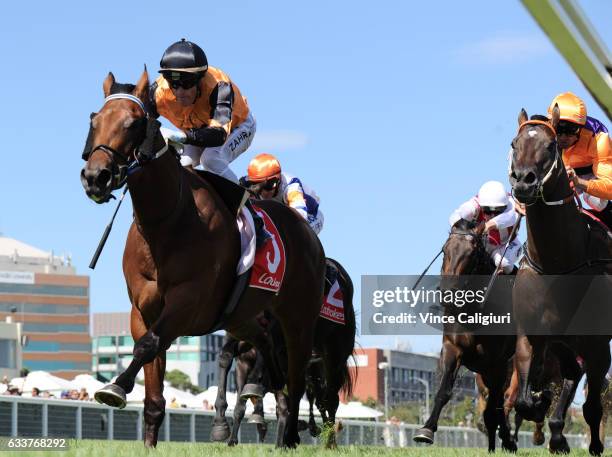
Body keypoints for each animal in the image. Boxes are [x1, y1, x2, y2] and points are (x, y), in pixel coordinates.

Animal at [79, 69, 328, 448]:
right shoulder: (142, 309)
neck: (166, 221)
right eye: (95, 120)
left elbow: (147, 346)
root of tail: (308, 233)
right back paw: (260, 391)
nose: (96, 176)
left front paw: (116, 386)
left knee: (297, 379)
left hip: (298, 318)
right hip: (241, 317)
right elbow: (153, 388)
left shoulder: (188, 302)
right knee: (266, 347)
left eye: (134, 123)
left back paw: (287, 436)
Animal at [414, 219, 520, 450]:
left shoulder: (497, 363)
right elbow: (444, 390)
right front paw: (426, 430)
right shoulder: (453, 348)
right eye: (445, 250)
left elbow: (495, 408)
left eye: (471, 254)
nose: (447, 293)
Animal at [506, 108, 612, 454]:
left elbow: (593, 406)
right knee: (570, 372)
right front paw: (541, 407)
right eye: (514, 143)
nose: (523, 181)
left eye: (550, 146)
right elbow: (523, 401)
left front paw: (594, 445)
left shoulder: (597, 343)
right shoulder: (531, 335)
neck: (559, 264)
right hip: (563, 342)